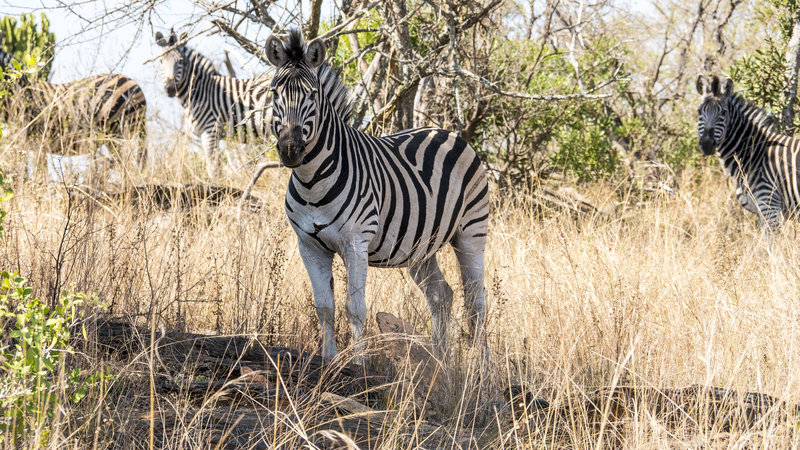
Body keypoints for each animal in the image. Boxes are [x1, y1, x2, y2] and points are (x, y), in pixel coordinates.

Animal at [264, 30, 488, 362]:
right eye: (274, 94)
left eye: (312, 95)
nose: (290, 149)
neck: (311, 182)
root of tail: (445, 132)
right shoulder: (309, 246)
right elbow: (325, 307)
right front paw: (329, 360)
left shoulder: (356, 242)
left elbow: (354, 308)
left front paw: (357, 362)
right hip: (421, 248)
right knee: (441, 295)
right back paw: (439, 361)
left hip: (471, 233)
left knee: (476, 302)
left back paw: (482, 367)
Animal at [692, 73, 800, 232]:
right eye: (699, 111)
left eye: (724, 112)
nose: (706, 144)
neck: (754, 154)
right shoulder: (762, 211)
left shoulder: (770, 204)